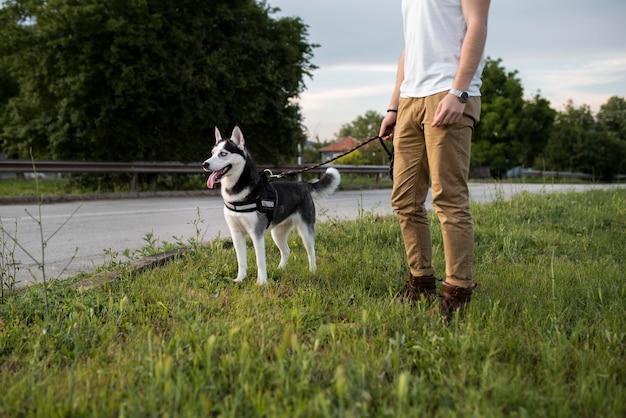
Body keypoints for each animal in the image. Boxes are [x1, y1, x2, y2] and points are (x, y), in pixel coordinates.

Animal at [201, 126, 338, 284]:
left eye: (223, 154)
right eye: (212, 153)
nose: (204, 164)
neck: (237, 193)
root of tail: (302, 184)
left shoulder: (256, 233)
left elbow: (260, 261)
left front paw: (261, 282)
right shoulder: (236, 233)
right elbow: (241, 260)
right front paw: (240, 279)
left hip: (305, 231)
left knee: (311, 252)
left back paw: (313, 271)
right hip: (277, 233)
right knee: (286, 251)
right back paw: (280, 269)